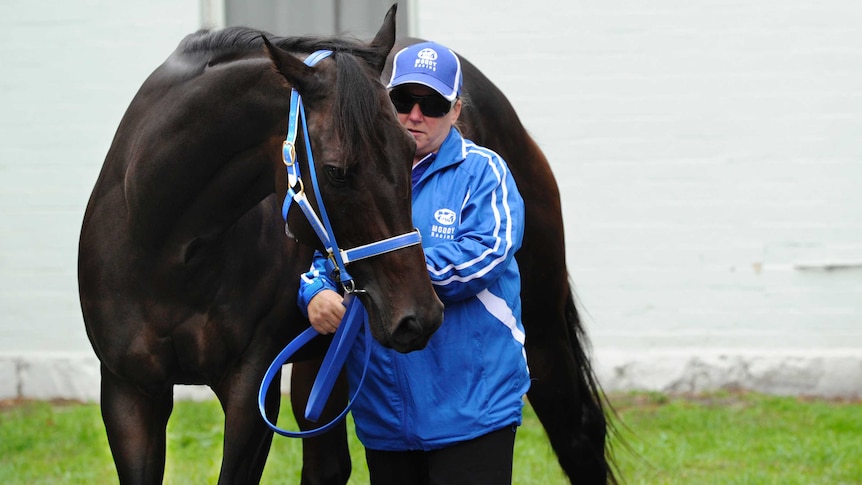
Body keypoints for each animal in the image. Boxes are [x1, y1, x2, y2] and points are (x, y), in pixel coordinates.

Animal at [79, 7, 446, 484]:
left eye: (409, 148)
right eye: (336, 172)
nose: (419, 316)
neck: (165, 253)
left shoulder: (252, 389)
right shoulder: (128, 392)